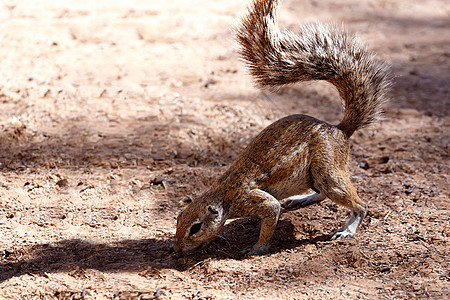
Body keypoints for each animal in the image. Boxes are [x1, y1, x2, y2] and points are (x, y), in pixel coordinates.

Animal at [171, 0, 392, 255]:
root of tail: (340, 129)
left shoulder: (255, 200)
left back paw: (347, 229)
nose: (175, 249)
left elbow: (271, 214)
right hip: (315, 175)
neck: (223, 194)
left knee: (357, 204)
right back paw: (300, 199)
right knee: (321, 194)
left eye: (195, 227)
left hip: (327, 171)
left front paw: (256, 247)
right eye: (178, 218)